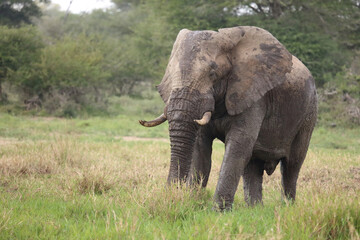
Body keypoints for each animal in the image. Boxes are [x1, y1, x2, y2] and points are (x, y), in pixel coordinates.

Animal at [139, 25, 316, 210]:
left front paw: (218, 211)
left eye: (213, 73)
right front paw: (193, 202)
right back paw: (255, 209)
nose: (172, 196)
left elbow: (238, 146)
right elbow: (200, 148)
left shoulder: (253, 94)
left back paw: (287, 207)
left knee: (292, 165)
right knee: (253, 165)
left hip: (308, 114)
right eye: (170, 73)